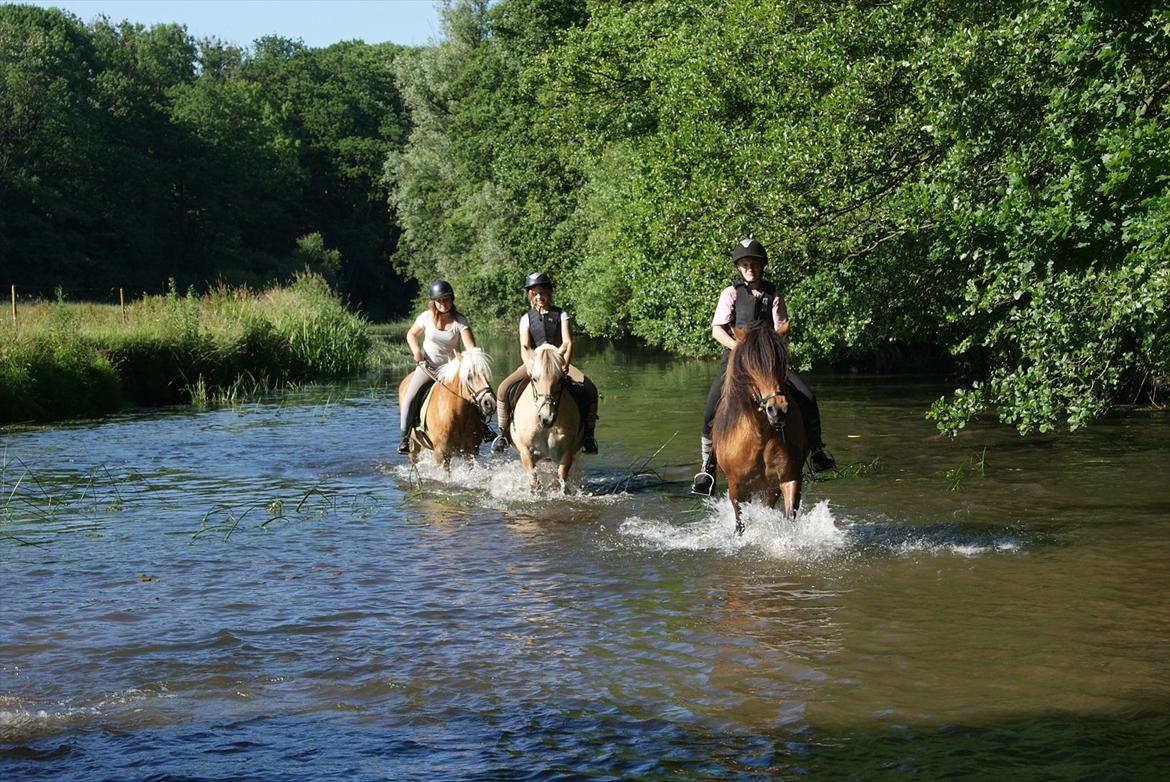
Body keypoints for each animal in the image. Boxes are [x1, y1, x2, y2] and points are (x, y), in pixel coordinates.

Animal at [514, 344, 582, 491]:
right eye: (534, 379)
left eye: (560, 379)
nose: (547, 418)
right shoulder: (525, 450)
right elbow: (534, 479)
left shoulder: (567, 451)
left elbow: (561, 477)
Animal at [706, 320, 809, 533]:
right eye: (751, 364)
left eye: (782, 361)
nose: (777, 410)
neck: (760, 435)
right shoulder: (736, 487)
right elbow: (740, 523)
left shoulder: (788, 478)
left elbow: (789, 517)